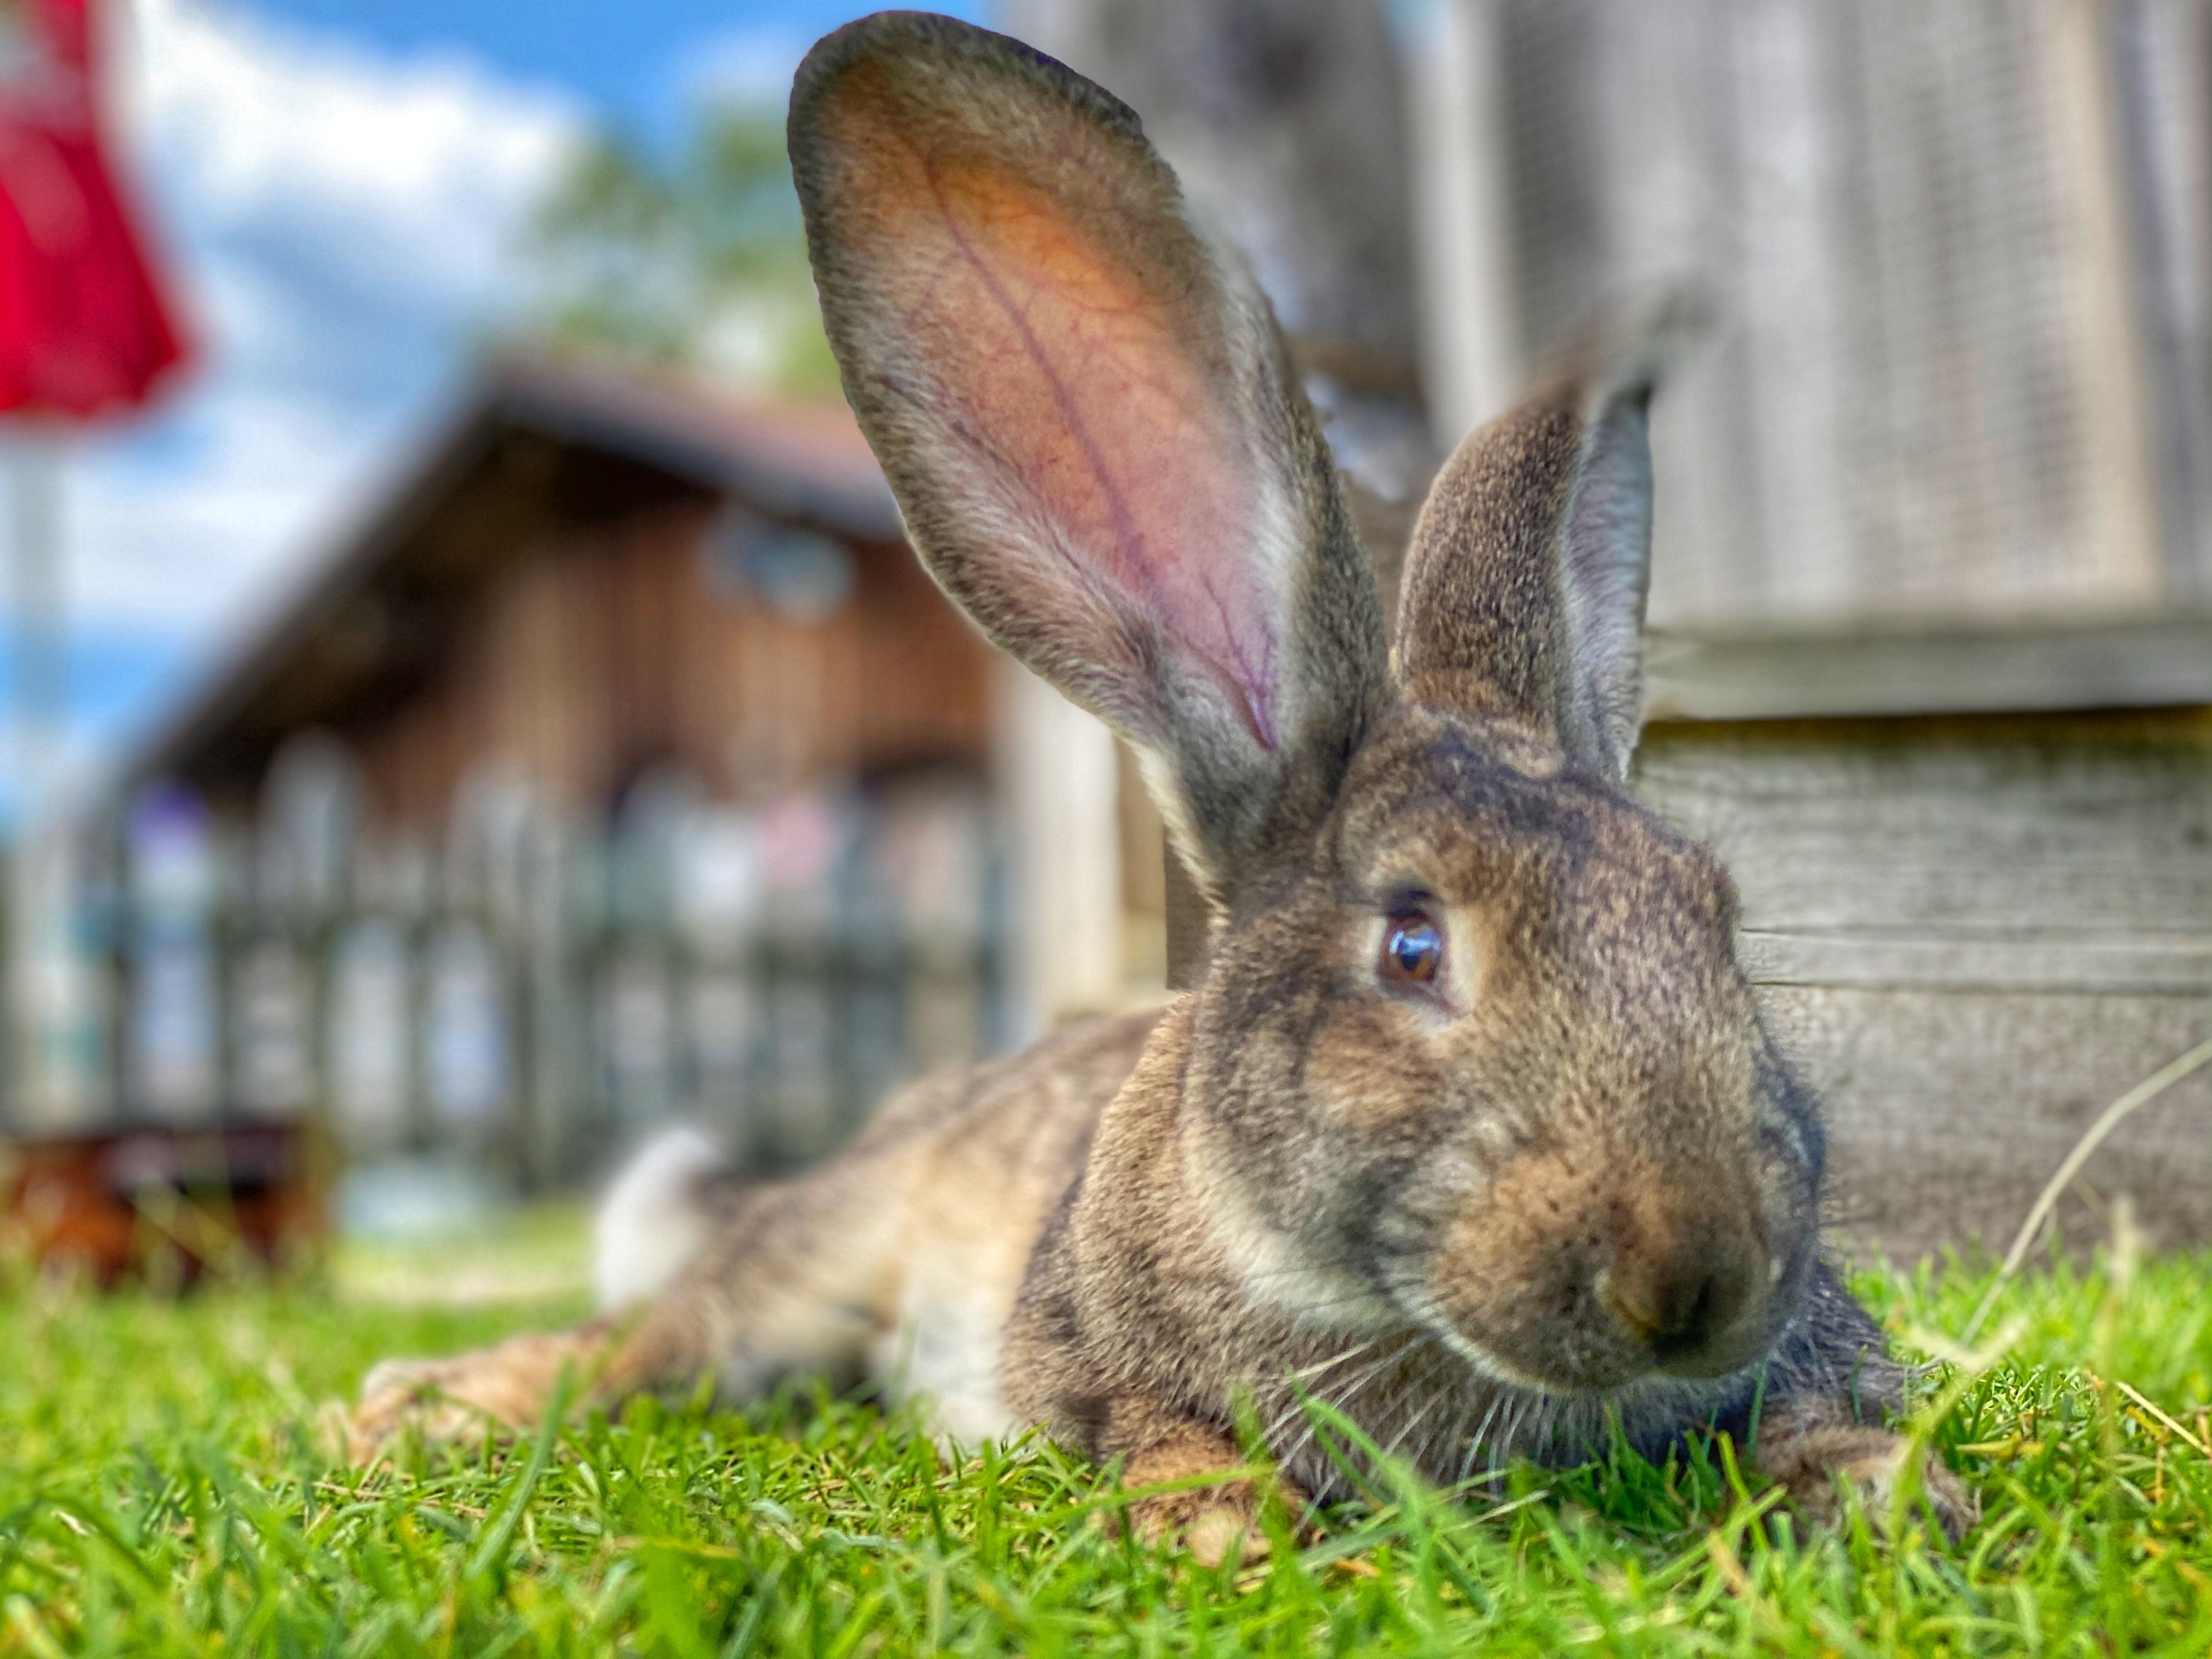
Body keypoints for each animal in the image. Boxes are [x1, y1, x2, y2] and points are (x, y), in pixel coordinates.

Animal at [354, 9, 1982, 1557]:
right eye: (1413, 946)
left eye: (1716, 920)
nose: (1695, 1277)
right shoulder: (1073, 1357)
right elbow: (1154, 1431)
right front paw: (1223, 1535)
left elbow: (1819, 1410)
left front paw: (1885, 1499)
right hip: (803, 1270)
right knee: (647, 1345)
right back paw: (411, 1409)